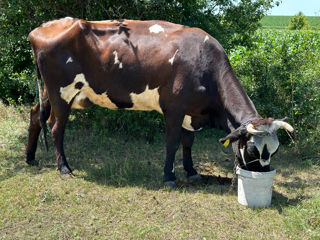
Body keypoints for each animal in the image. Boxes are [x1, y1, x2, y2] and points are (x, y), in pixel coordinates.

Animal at [26, 17, 292, 188]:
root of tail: (40, 29)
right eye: (252, 149)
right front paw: (169, 177)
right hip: (61, 92)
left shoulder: (190, 111)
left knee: (35, 114)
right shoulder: (174, 108)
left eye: (275, 150)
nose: (262, 173)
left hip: (49, 91)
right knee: (56, 127)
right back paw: (64, 168)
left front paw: (192, 172)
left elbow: (188, 142)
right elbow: (172, 143)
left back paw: (30, 157)